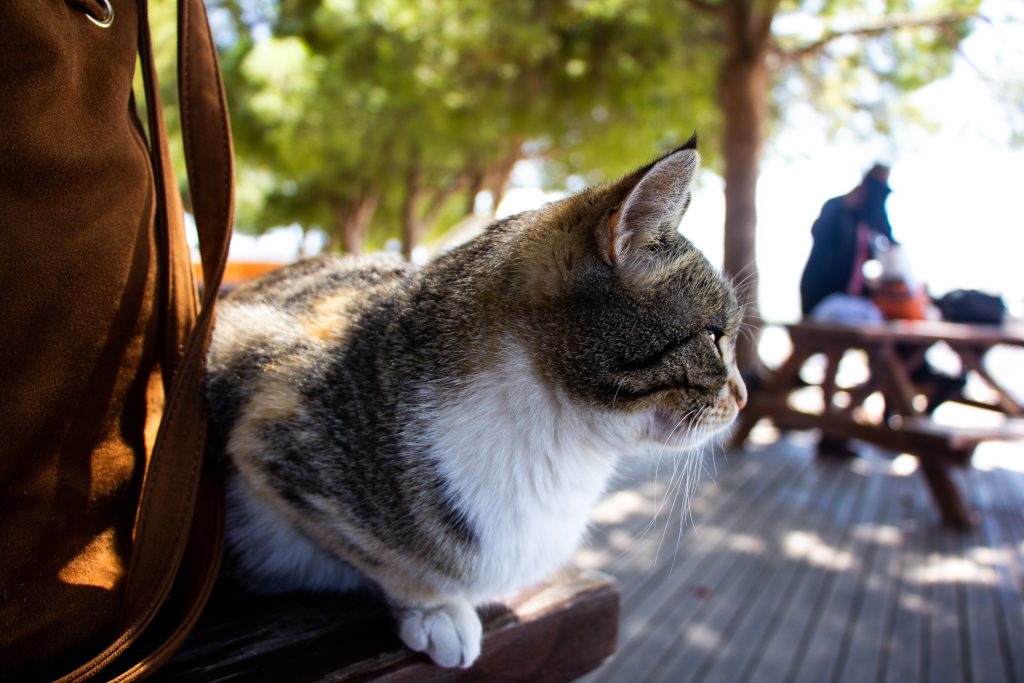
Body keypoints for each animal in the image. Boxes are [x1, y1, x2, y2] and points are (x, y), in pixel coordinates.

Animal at [203, 139, 749, 667]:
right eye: (714, 336)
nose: (743, 397)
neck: (558, 445)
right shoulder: (267, 415)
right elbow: (382, 555)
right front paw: (436, 609)